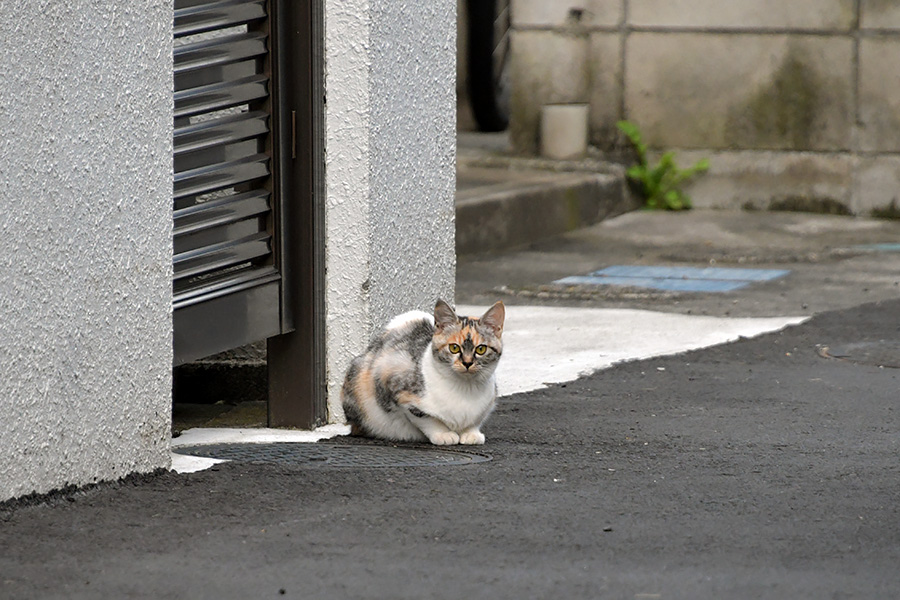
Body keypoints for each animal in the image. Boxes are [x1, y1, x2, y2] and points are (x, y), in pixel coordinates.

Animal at [340, 300, 502, 446]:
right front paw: (443, 434)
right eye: (454, 348)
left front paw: (471, 433)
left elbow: (475, 420)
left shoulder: (488, 400)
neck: (465, 388)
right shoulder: (395, 382)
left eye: (481, 349)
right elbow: (426, 418)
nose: (467, 363)